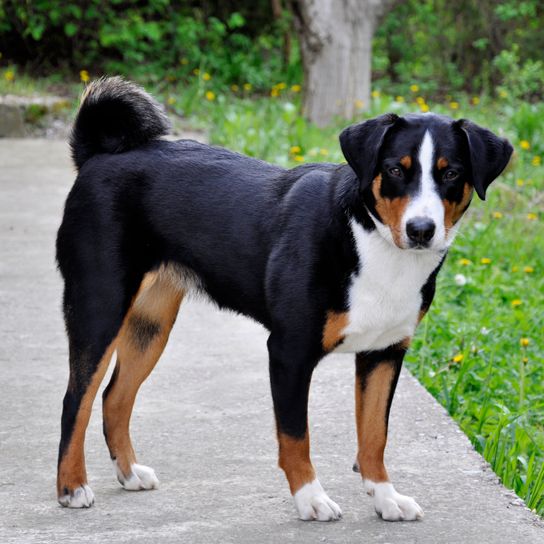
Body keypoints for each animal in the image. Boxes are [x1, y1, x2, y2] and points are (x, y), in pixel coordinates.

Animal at [57, 78, 512, 520]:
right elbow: (296, 436)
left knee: (115, 397)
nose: (421, 229)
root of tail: (98, 156)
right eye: (395, 170)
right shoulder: (289, 351)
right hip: (100, 307)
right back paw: (72, 487)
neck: (370, 243)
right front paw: (311, 498)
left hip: (150, 326)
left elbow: (374, 435)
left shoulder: (384, 353)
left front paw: (385, 497)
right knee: (75, 400)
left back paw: (129, 472)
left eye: (451, 173)